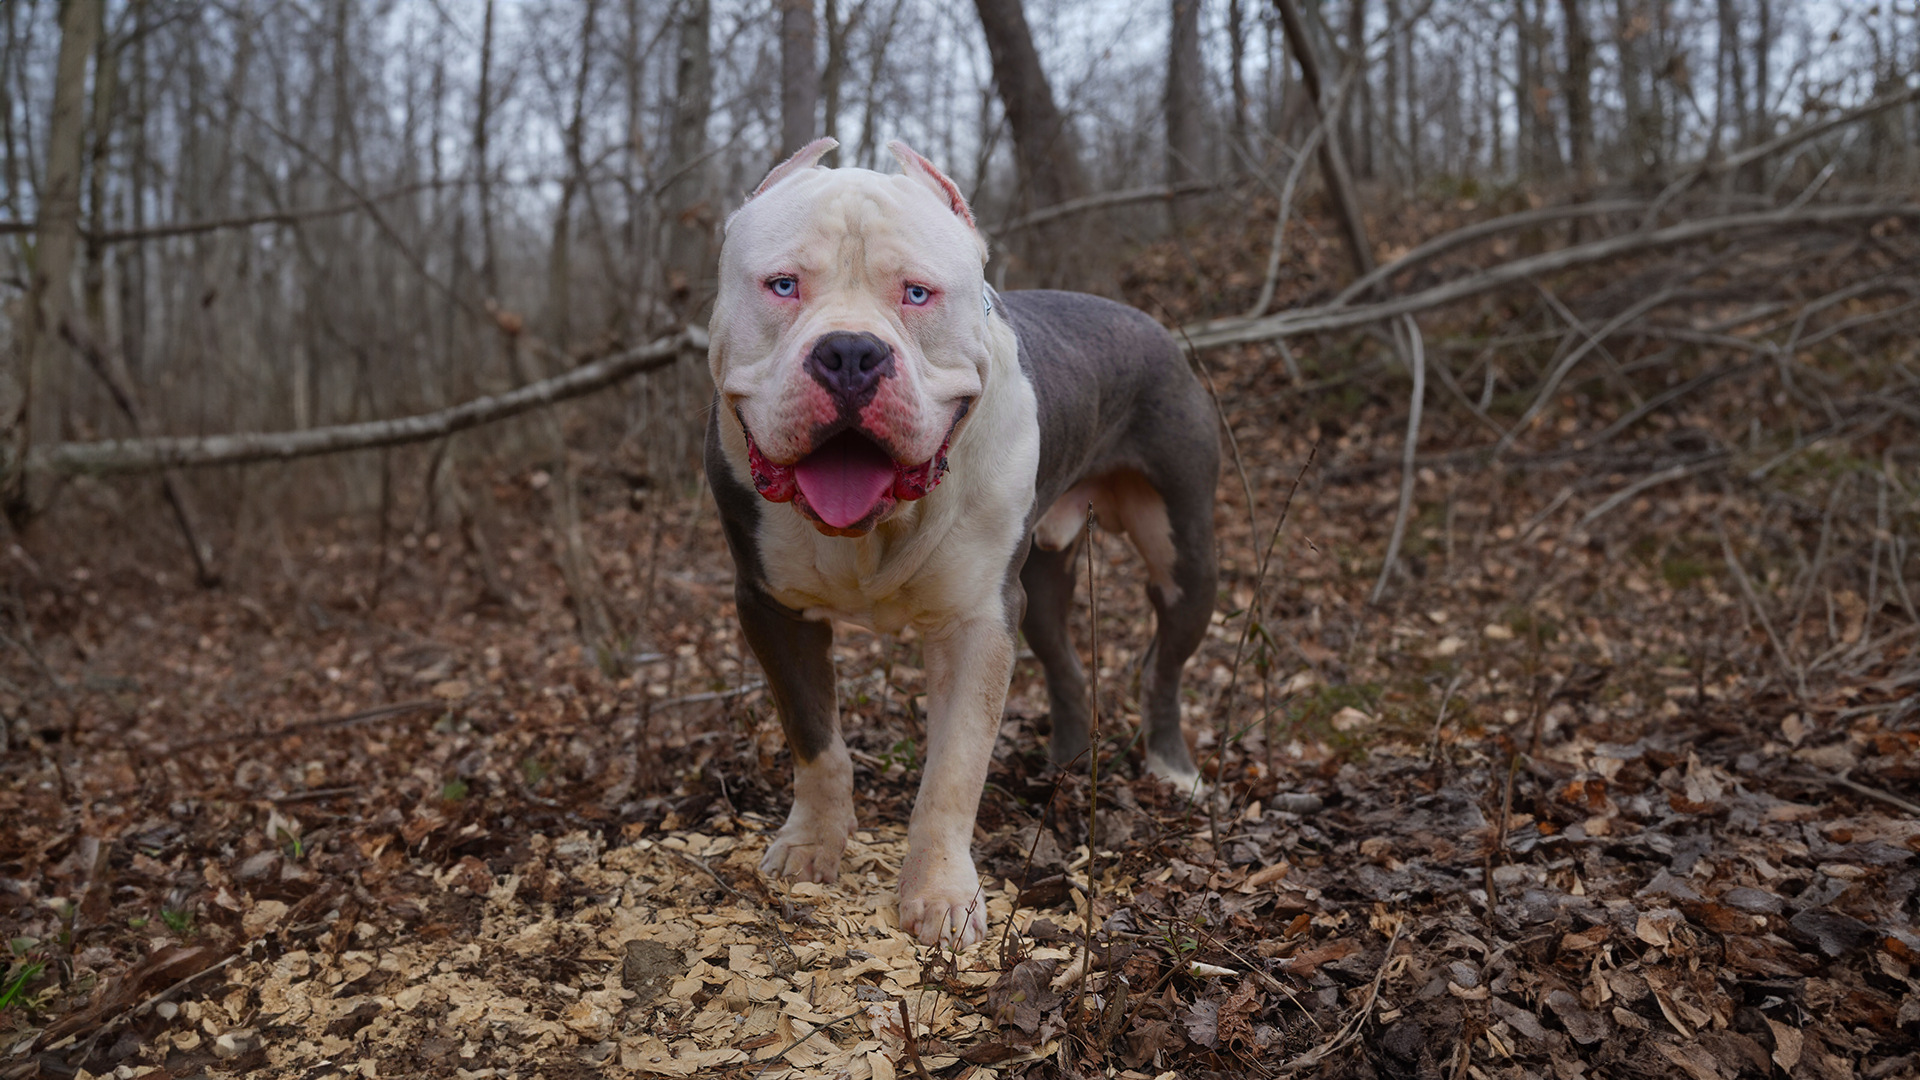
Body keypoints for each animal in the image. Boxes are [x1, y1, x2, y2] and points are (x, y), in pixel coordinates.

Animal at [702, 134, 1213, 941]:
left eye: (917, 294)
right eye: (783, 285)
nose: (851, 353)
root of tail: (1150, 323)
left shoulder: (977, 623)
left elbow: (953, 770)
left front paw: (941, 896)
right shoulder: (769, 607)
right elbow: (816, 742)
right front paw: (813, 844)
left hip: (1185, 557)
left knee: (1162, 664)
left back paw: (1172, 770)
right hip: (1040, 589)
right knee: (1066, 664)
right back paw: (1065, 766)